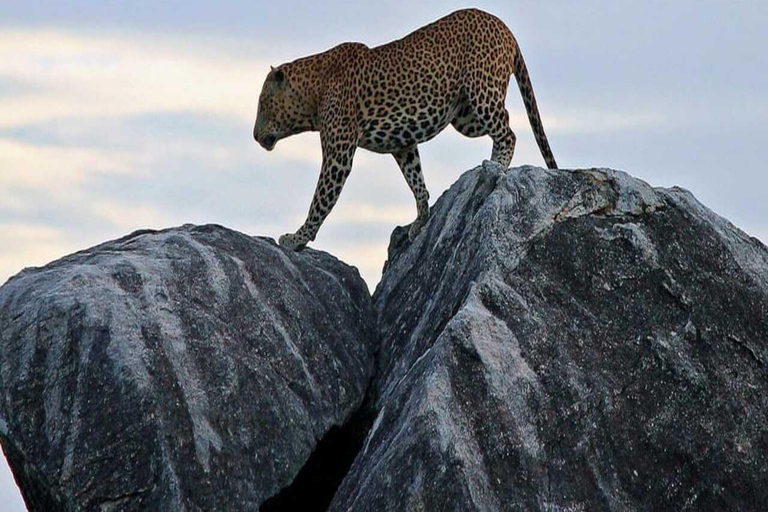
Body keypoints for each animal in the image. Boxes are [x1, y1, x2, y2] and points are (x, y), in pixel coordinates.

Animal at [252, 6, 560, 250]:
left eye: (263, 104)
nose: (254, 136)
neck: (313, 90)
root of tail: (502, 25)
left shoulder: (338, 155)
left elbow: (321, 199)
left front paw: (297, 237)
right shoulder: (402, 144)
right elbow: (416, 180)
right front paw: (421, 219)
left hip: (481, 90)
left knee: (508, 131)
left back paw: (496, 166)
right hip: (465, 117)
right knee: (503, 123)